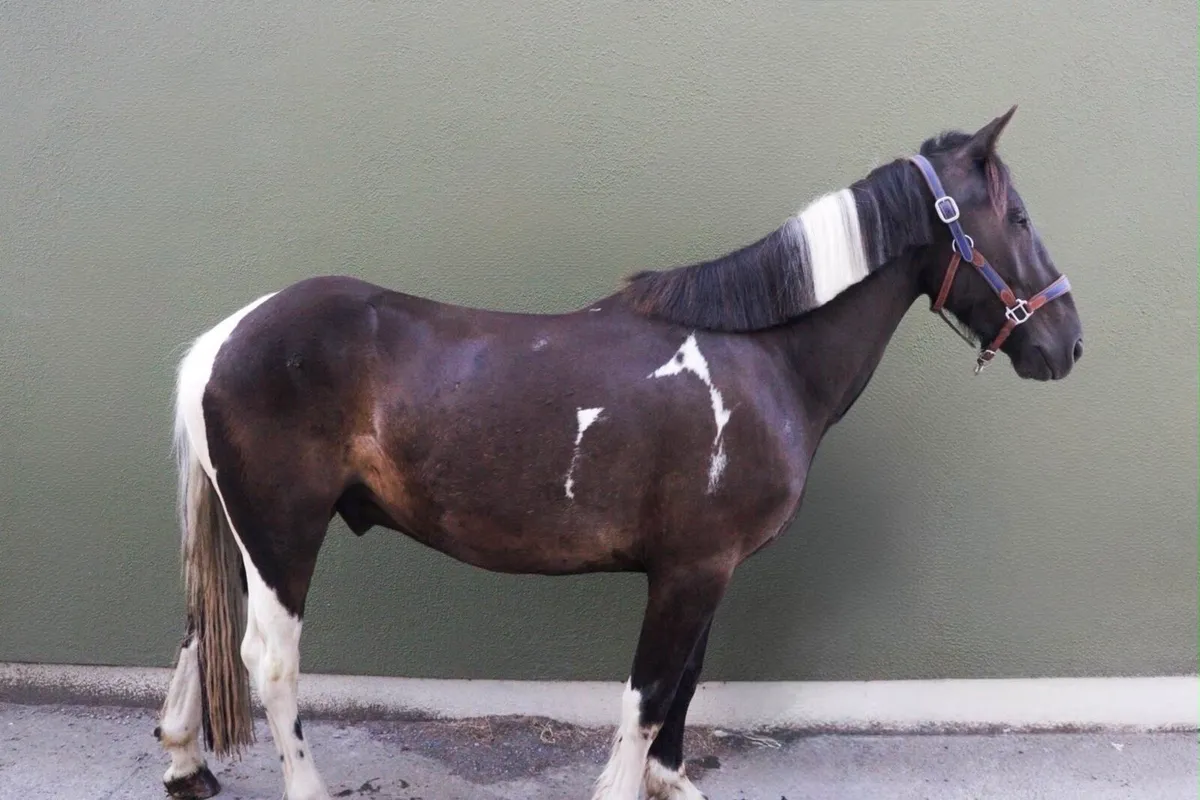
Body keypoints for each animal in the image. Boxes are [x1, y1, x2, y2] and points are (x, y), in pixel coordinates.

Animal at [152, 106, 1081, 800]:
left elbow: (686, 681)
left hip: (247, 534)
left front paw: (670, 780)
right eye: (1018, 217)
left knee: (200, 631)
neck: (761, 356)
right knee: (269, 662)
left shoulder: (705, 567)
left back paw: (184, 762)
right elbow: (649, 692)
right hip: (282, 534)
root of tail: (224, 339)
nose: (1067, 344)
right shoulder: (690, 569)